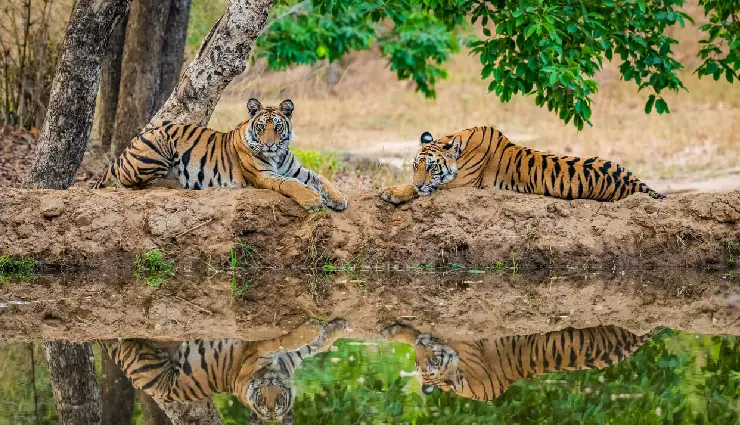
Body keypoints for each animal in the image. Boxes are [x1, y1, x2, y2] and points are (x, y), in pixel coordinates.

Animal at [93, 98, 348, 212]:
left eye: (277, 127)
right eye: (261, 127)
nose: (269, 145)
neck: (277, 155)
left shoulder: (296, 169)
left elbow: (320, 178)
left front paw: (339, 198)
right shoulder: (264, 175)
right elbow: (291, 184)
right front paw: (313, 200)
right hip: (159, 143)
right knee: (133, 184)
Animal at [102, 318, 348, 425]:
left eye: (277, 403)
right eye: (262, 401)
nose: (268, 387)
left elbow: (306, 345)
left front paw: (331, 328)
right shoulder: (260, 351)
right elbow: (294, 342)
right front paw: (325, 328)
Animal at [380, 126, 666, 205]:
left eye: (431, 168)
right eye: (414, 166)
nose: (420, 181)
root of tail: (634, 181)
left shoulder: (461, 184)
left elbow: (418, 189)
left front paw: (390, 192)